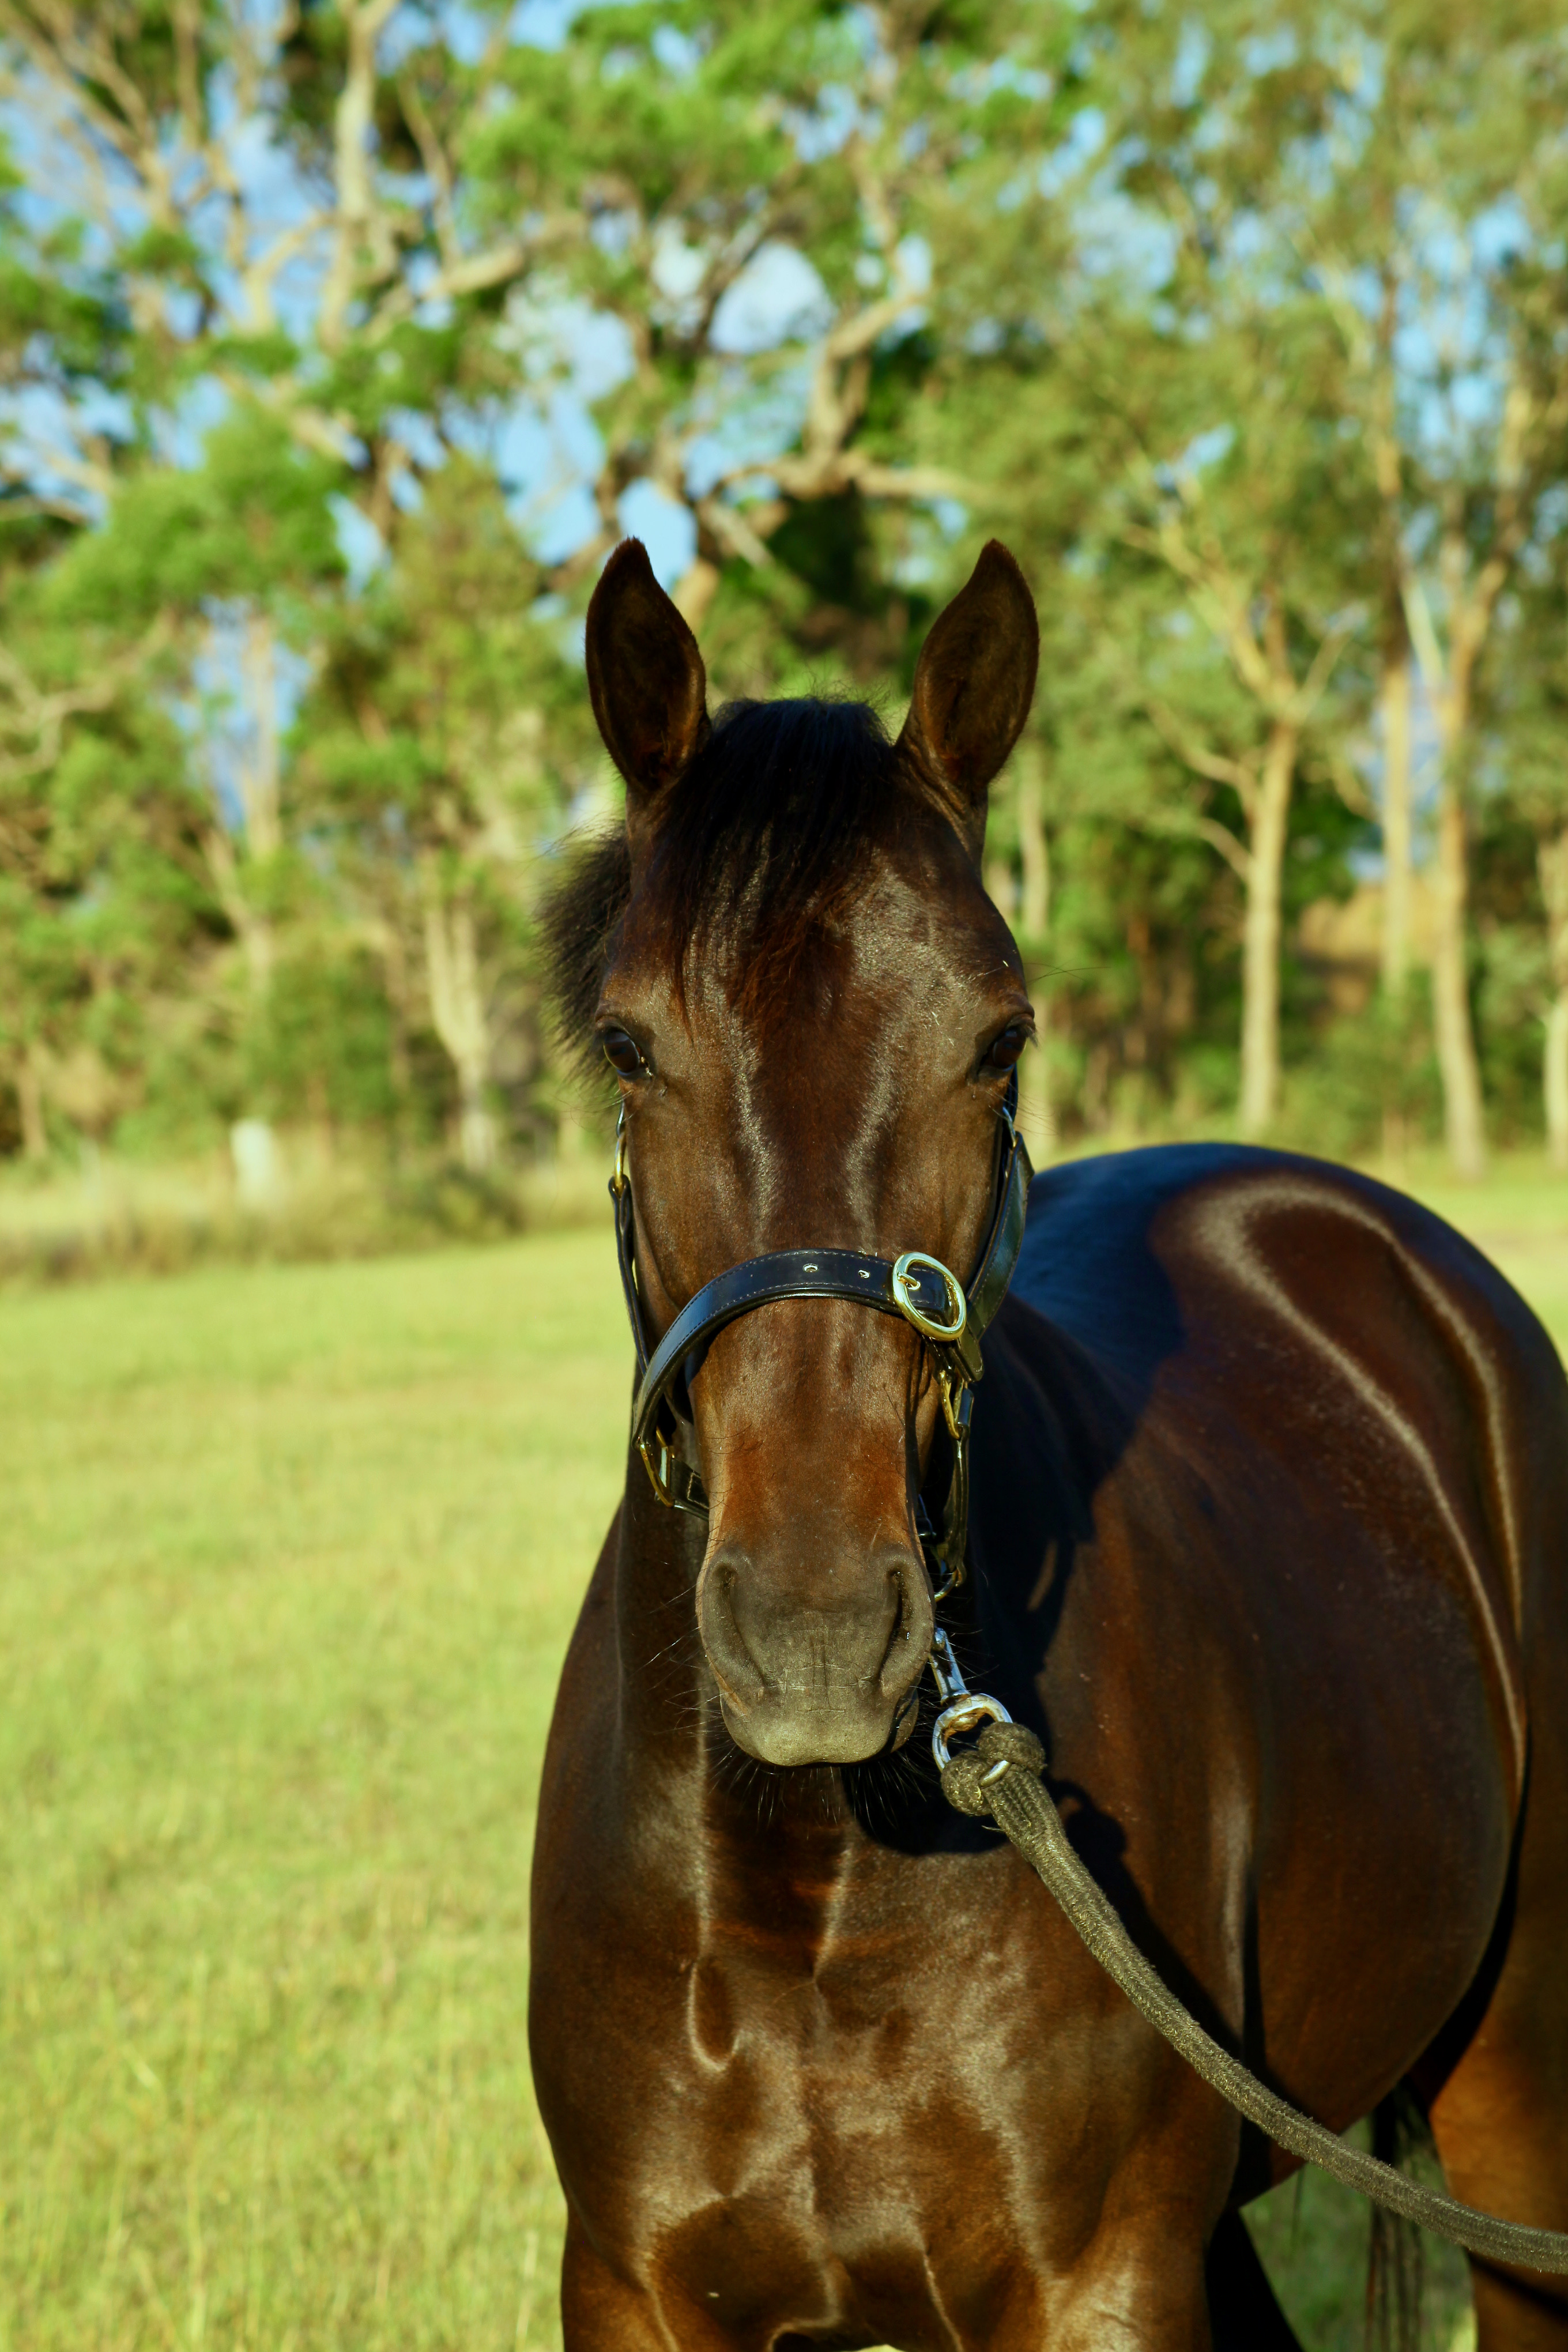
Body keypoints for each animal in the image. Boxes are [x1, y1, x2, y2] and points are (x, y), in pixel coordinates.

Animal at [530, 537, 1568, 2351]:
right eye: (628, 1043)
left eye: (998, 1038)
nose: (814, 1640)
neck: (802, 1869)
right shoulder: (633, 2288)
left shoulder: (1101, 2282)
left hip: (1515, 2085)